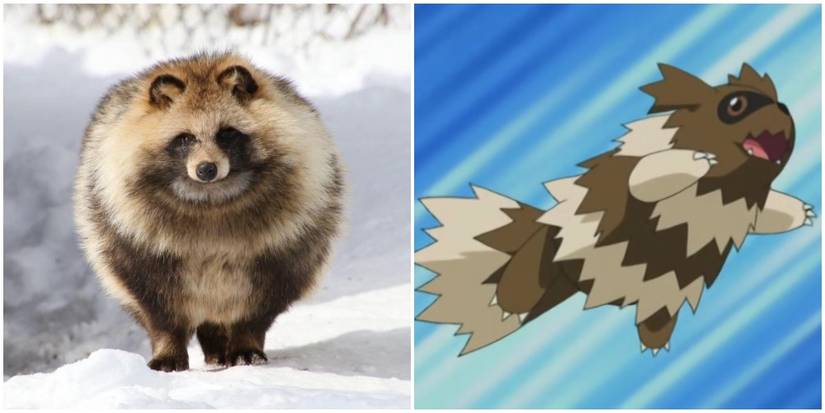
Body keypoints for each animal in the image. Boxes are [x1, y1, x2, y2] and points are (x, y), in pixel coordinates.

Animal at [74, 52, 344, 371]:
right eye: (185, 138)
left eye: (227, 133)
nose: (206, 169)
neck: (211, 200)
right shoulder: (136, 244)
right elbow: (159, 308)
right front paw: (168, 348)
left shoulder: (285, 245)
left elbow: (258, 306)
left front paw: (245, 341)